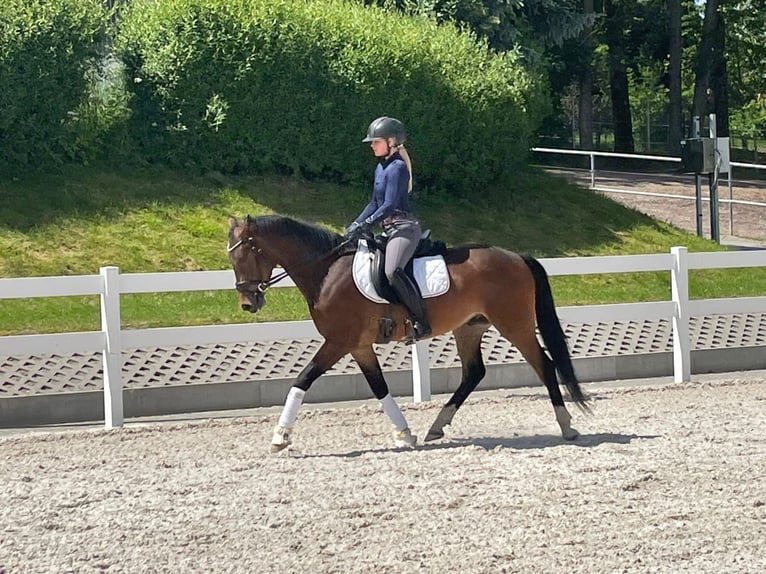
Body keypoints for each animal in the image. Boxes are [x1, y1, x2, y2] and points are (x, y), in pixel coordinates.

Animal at [225, 216, 592, 454]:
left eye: (245, 253)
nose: (247, 303)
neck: (326, 271)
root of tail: (516, 256)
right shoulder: (358, 346)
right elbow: (379, 387)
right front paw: (404, 434)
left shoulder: (338, 342)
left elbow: (302, 379)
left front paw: (280, 437)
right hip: (469, 327)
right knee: (474, 373)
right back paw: (437, 426)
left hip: (514, 325)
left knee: (544, 365)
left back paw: (567, 425)